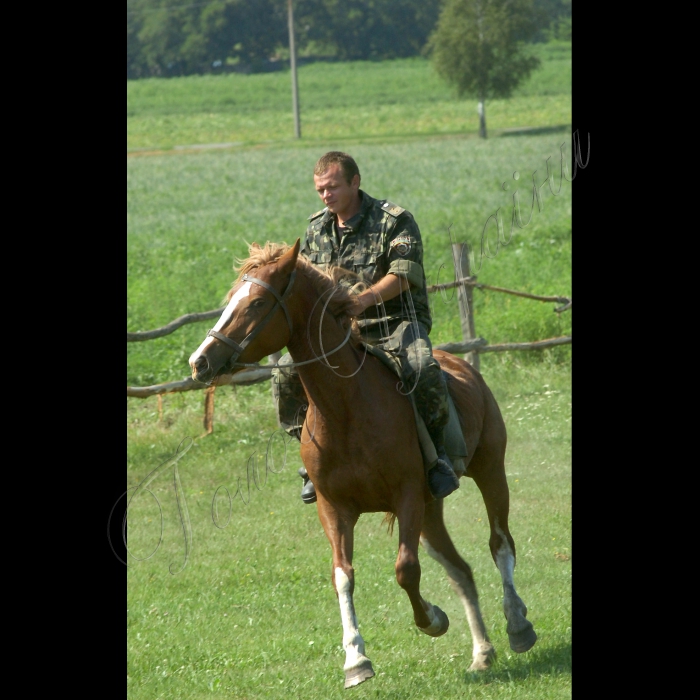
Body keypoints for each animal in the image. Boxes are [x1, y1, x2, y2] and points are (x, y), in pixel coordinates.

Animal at [187, 241, 536, 688]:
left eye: (259, 302)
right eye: (231, 298)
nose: (200, 362)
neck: (346, 409)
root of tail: (462, 366)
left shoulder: (407, 496)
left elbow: (405, 569)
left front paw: (432, 620)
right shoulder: (334, 508)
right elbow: (343, 576)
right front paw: (356, 659)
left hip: (489, 471)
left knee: (500, 544)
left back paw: (518, 625)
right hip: (431, 511)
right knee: (461, 570)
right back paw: (482, 653)